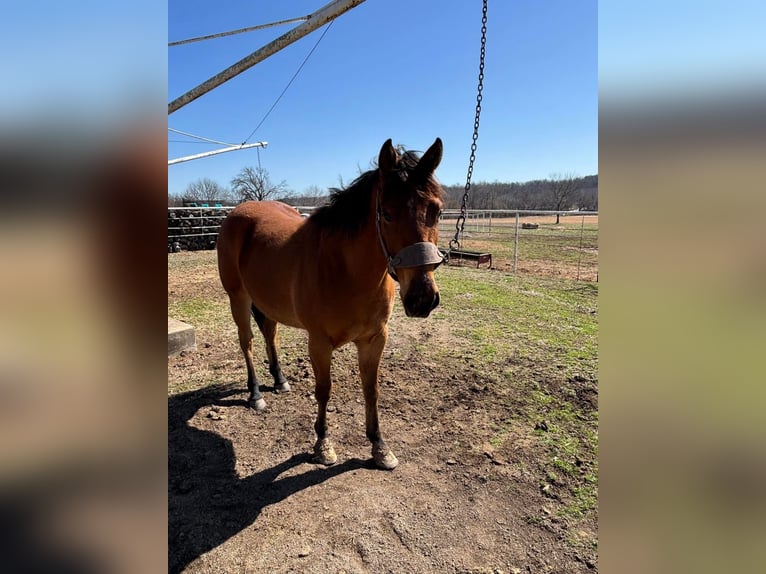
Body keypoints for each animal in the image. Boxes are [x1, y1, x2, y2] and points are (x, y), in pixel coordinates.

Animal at [218, 140, 444, 472]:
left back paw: (280, 381)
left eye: (437, 211)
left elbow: (371, 389)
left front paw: (380, 447)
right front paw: (323, 445)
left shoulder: (375, 339)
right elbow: (324, 390)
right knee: (246, 342)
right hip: (238, 297)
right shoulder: (319, 342)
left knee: (270, 335)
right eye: (387, 214)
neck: (346, 270)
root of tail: (240, 212)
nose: (422, 298)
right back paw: (256, 393)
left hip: (268, 303)